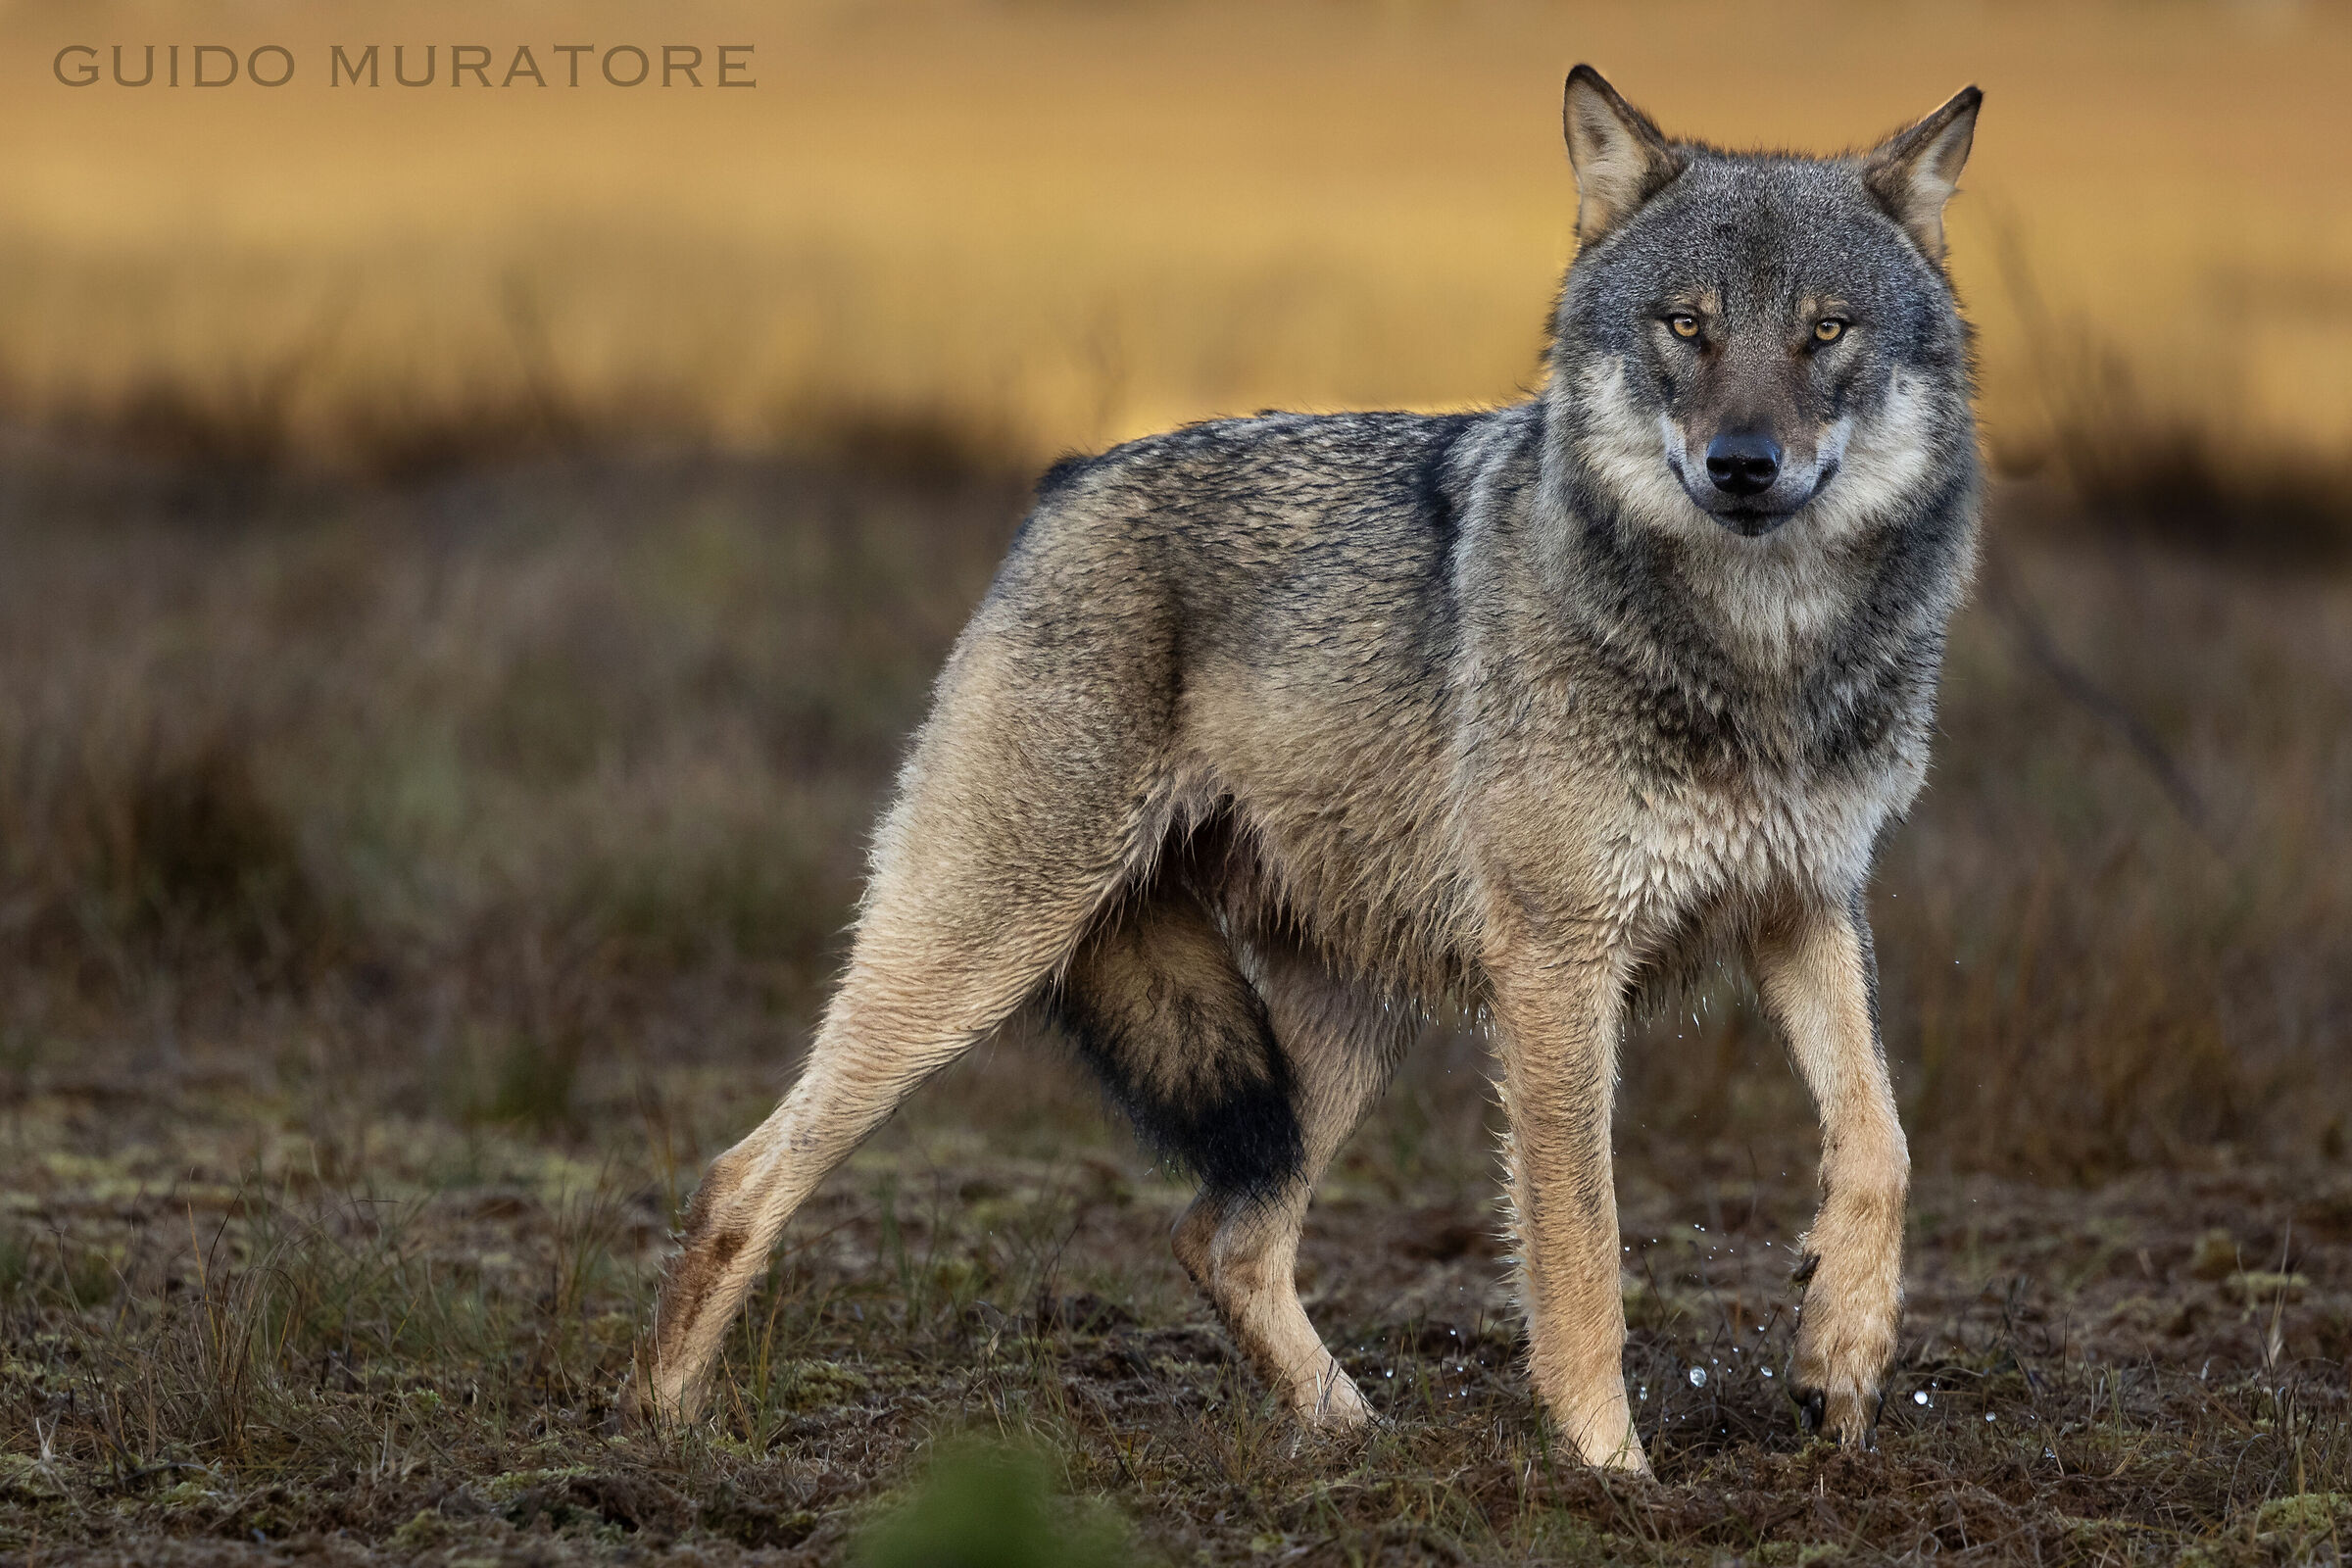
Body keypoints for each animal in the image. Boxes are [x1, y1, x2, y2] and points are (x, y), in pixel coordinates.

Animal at [646, 65, 1982, 1472]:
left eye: (1825, 332)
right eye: (1687, 326)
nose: (1743, 464)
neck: (1759, 663)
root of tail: (1068, 474)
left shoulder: (1806, 905)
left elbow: (1881, 1145)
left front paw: (1841, 1359)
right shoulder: (1562, 966)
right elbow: (1582, 1245)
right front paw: (1611, 1472)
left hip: (1336, 1030)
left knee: (1219, 1236)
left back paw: (1352, 1431)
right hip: (975, 957)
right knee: (742, 1174)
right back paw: (666, 1426)